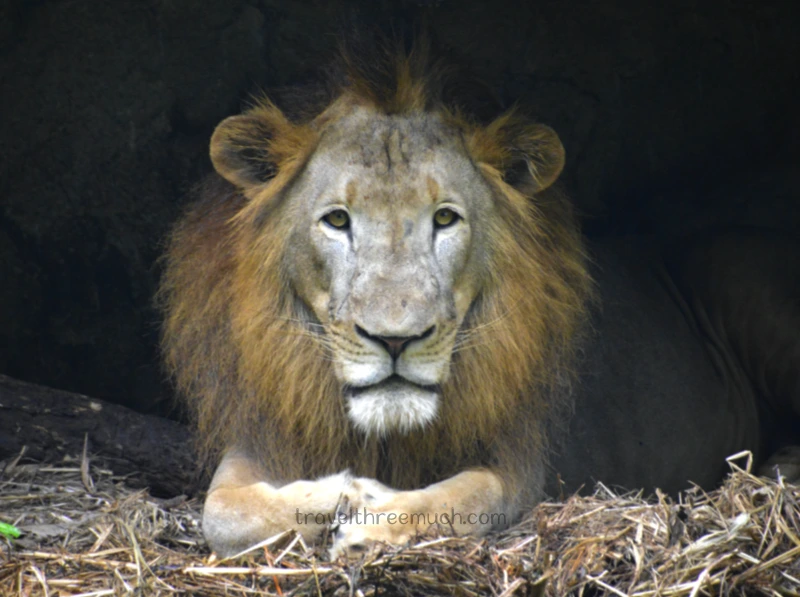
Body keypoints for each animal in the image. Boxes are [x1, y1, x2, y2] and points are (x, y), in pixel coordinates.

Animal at [159, 44, 800, 559]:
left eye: (445, 219)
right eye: (337, 221)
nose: (396, 340)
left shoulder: (522, 465)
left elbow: (464, 498)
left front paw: (370, 518)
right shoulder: (259, 434)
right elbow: (223, 512)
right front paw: (337, 493)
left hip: (737, 270)